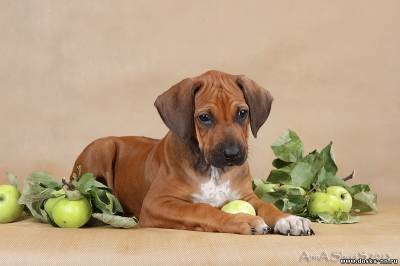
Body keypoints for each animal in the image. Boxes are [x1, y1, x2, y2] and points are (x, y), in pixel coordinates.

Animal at [73, 70, 314, 235]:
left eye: (242, 113)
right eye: (204, 117)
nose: (232, 154)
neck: (213, 171)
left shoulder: (246, 195)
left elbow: (266, 205)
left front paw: (289, 218)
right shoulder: (157, 203)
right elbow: (201, 209)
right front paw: (241, 220)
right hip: (103, 148)